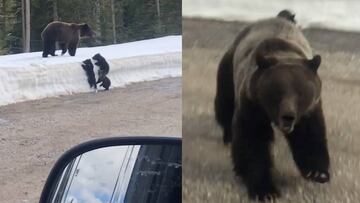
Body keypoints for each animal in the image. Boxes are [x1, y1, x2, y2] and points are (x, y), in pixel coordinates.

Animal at [214, 13, 330, 201]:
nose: (288, 116)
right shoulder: (252, 104)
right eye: (277, 92)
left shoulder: (309, 110)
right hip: (229, 68)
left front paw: (318, 172)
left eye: (301, 93)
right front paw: (265, 190)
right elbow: (253, 141)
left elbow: (310, 136)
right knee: (224, 104)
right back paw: (228, 136)